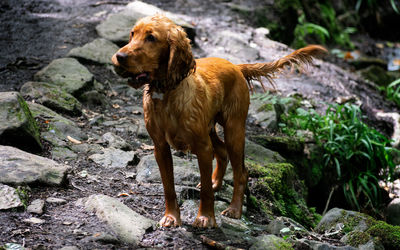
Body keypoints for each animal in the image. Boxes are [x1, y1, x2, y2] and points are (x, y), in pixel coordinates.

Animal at [111, 14, 326, 228]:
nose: (118, 57)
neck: (166, 95)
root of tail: (236, 66)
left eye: (151, 38)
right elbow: (169, 188)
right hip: (209, 128)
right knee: (222, 152)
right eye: (132, 34)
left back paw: (234, 209)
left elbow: (206, 191)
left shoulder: (202, 147)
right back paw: (217, 183)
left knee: (241, 172)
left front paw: (206, 218)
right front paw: (171, 217)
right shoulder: (160, 147)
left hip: (234, 129)